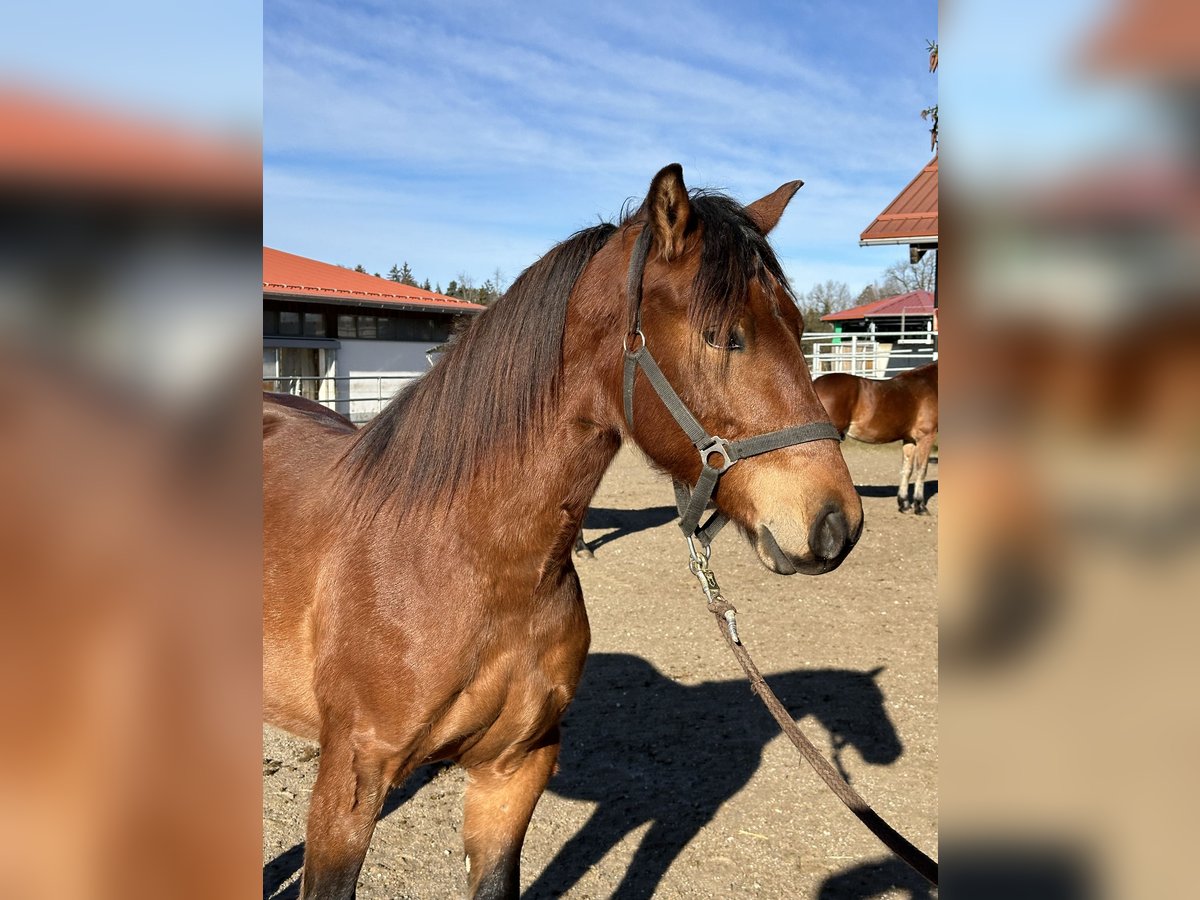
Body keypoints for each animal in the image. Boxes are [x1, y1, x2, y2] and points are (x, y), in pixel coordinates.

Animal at [262, 164, 864, 900]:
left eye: (797, 326)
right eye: (725, 334)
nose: (836, 522)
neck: (463, 560)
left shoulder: (514, 771)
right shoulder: (348, 787)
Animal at [816, 362, 936, 513]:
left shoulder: (910, 440)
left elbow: (906, 470)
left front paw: (904, 504)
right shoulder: (926, 437)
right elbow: (922, 470)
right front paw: (920, 506)